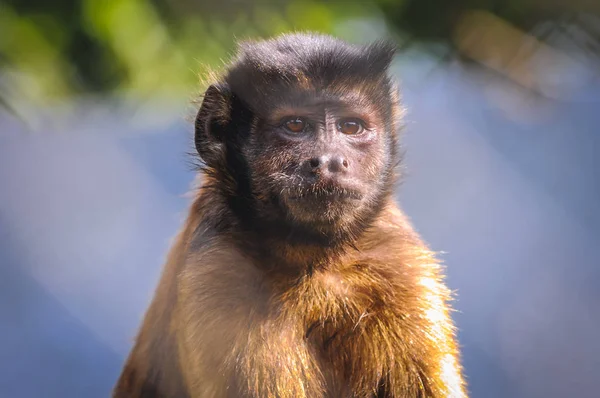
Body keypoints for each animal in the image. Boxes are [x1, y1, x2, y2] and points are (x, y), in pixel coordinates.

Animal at [113, 32, 468, 396]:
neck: (316, 261)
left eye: (351, 127)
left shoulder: (400, 263)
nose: (329, 161)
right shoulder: (220, 272)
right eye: (295, 125)